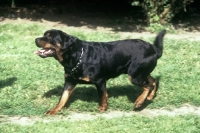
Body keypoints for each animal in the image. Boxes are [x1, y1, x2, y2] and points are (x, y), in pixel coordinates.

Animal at [34, 29, 166, 114]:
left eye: (50, 37)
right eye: (44, 35)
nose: (36, 39)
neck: (77, 57)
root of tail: (154, 50)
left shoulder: (100, 81)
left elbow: (102, 95)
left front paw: (102, 108)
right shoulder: (69, 82)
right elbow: (63, 98)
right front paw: (55, 110)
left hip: (134, 75)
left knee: (147, 86)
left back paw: (139, 101)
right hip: (140, 73)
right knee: (154, 81)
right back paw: (149, 97)